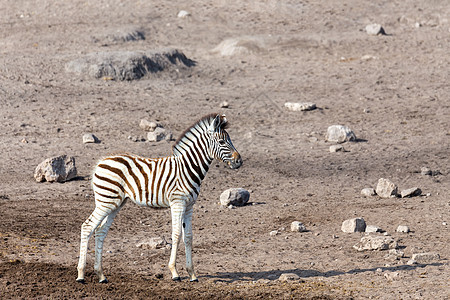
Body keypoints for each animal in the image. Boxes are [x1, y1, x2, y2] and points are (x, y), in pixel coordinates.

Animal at [75, 113, 243, 284]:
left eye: (230, 139)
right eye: (222, 141)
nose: (239, 161)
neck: (188, 168)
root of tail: (101, 161)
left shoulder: (189, 205)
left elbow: (188, 237)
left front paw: (192, 274)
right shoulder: (177, 202)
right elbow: (176, 234)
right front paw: (174, 272)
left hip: (116, 203)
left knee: (100, 231)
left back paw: (101, 274)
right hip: (106, 201)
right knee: (87, 226)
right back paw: (81, 274)